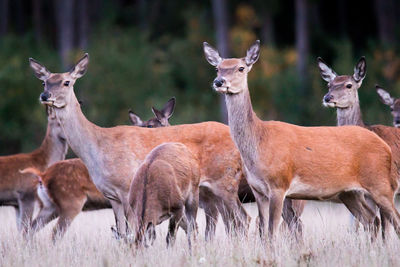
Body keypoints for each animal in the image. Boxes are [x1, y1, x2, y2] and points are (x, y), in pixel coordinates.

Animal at [17, 102, 173, 241]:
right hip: (70, 203)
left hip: (50, 206)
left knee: (29, 230)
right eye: (147, 127)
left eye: (151, 126)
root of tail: (43, 176)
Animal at [203, 39, 400, 241]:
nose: (219, 81)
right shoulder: (258, 191)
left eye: (241, 68)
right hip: (349, 193)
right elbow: (263, 233)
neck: (259, 142)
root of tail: (385, 146)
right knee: (372, 220)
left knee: (393, 220)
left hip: (381, 184)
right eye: (218, 68)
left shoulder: (279, 185)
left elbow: (272, 232)